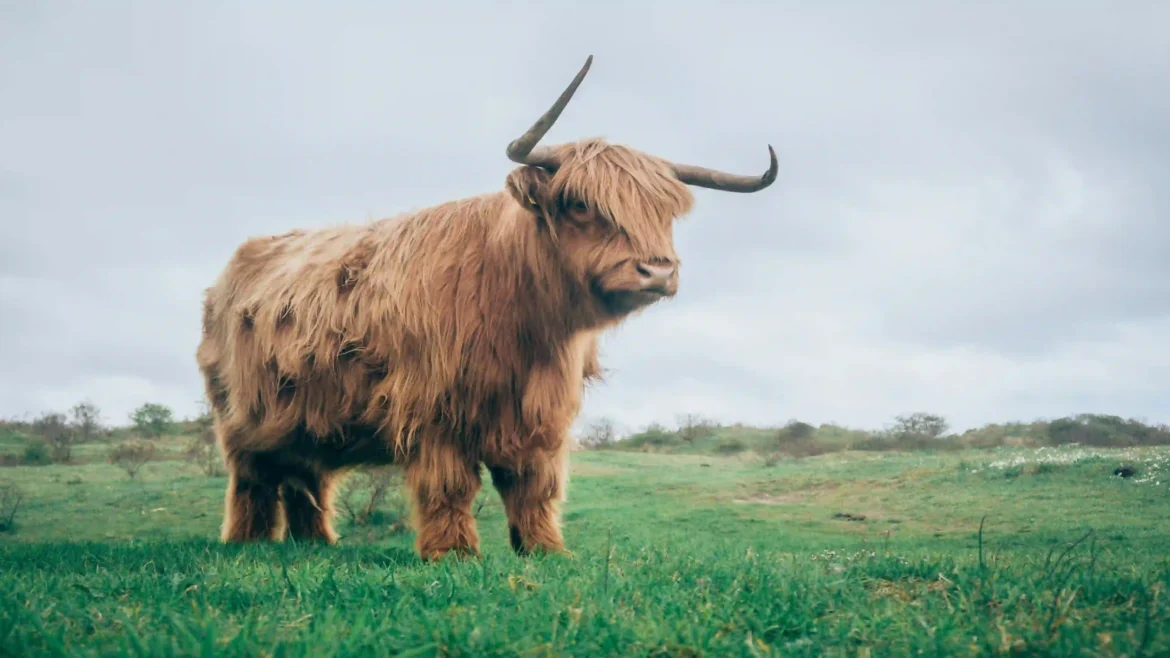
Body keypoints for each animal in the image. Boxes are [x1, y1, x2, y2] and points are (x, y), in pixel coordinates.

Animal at [195, 55, 778, 560]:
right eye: (580, 204)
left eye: (665, 212)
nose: (657, 271)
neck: (525, 322)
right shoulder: (433, 408)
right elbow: (449, 485)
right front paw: (453, 554)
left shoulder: (542, 416)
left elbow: (534, 486)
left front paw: (545, 551)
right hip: (241, 417)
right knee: (253, 479)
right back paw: (248, 543)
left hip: (303, 416)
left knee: (305, 477)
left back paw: (315, 544)